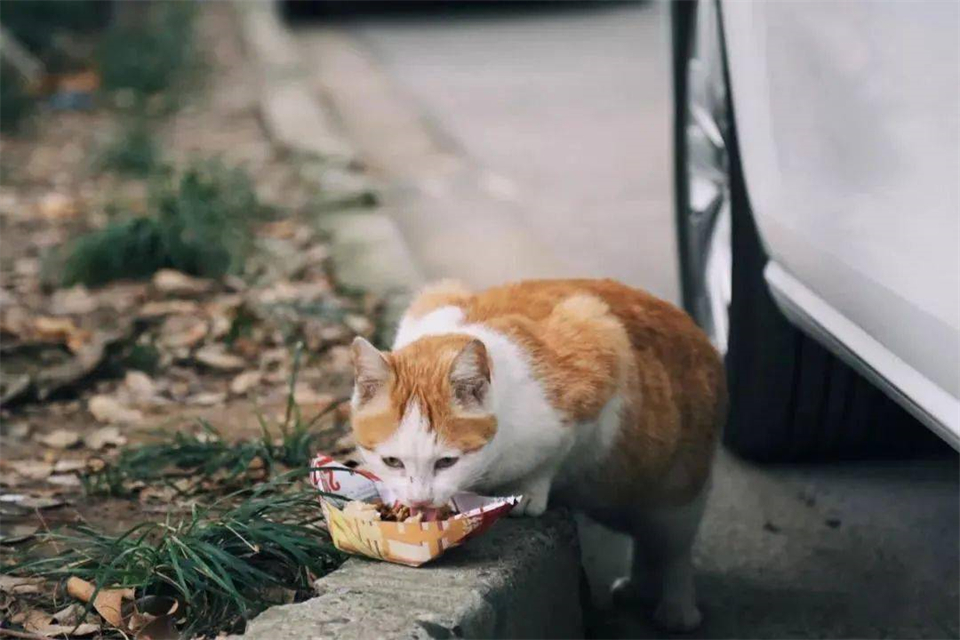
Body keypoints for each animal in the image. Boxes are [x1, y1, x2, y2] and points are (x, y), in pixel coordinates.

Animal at [348, 280, 724, 632]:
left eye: (446, 462)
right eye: (392, 462)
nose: (420, 499)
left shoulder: (600, 344)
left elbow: (553, 456)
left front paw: (528, 491)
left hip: (677, 494)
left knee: (674, 550)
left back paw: (677, 609)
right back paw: (638, 588)